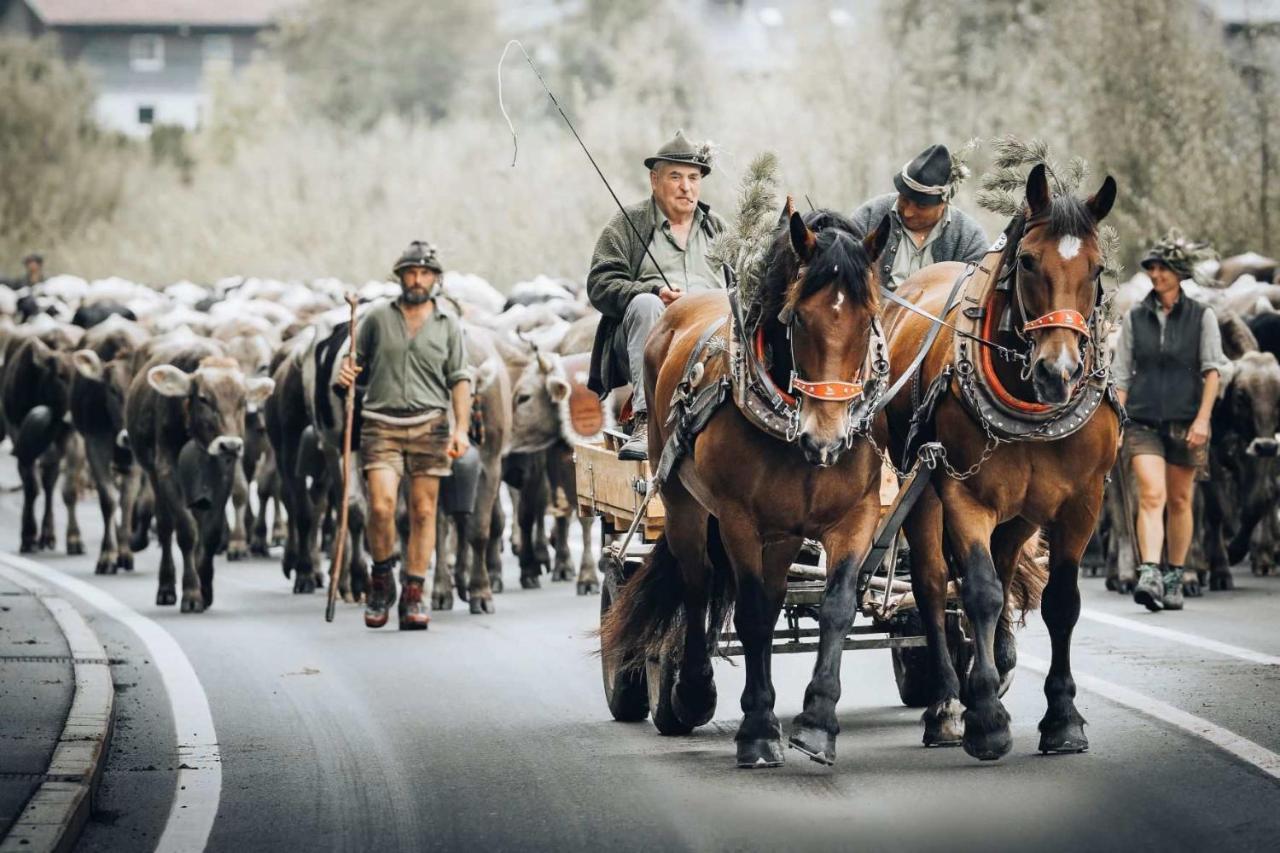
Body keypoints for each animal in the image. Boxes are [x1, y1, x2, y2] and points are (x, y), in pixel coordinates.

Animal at [599, 204, 890, 763]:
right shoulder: (738, 518)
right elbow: (751, 615)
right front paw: (756, 728)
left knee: (772, 597)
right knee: (696, 583)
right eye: (797, 317)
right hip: (683, 502)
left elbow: (836, 607)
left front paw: (817, 722)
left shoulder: (856, 516)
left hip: (784, 533)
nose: (827, 437)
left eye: (869, 318)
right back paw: (691, 692)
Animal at [880, 163, 1121, 758]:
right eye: (1029, 260)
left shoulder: (1083, 501)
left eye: (1098, 267)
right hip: (920, 488)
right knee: (932, 585)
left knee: (1004, 565)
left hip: (1023, 510)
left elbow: (1061, 601)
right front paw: (985, 716)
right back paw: (947, 704)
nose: (1059, 372)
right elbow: (980, 593)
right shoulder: (964, 495)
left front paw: (1062, 717)